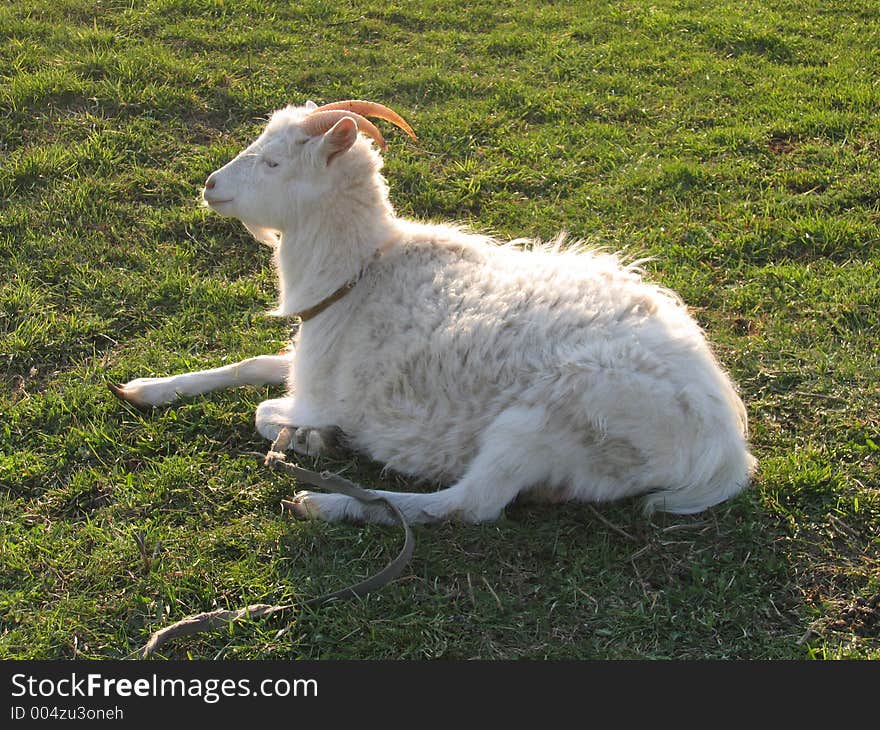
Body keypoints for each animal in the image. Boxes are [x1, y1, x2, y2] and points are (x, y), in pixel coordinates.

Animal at [110, 99, 756, 524]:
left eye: (272, 164)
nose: (210, 186)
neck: (361, 276)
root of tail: (725, 449)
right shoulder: (307, 360)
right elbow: (250, 367)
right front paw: (148, 388)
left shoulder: (327, 392)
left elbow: (266, 412)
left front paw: (315, 440)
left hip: (546, 420)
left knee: (471, 504)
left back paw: (331, 501)